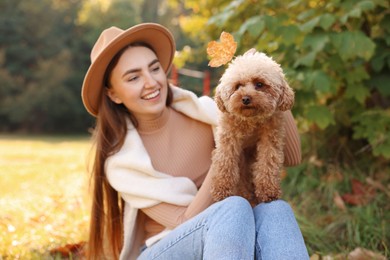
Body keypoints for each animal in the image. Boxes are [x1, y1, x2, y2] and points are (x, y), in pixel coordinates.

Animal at [210, 48, 292, 203]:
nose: (246, 98)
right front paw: (221, 190)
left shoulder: (270, 138)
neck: (250, 120)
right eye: (238, 86)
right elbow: (225, 162)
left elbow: (268, 163)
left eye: (259, 84)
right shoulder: (228, 138)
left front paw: (268, 191)